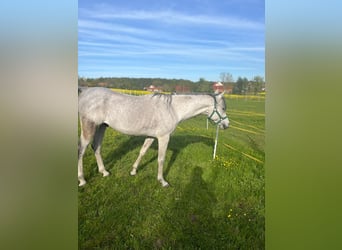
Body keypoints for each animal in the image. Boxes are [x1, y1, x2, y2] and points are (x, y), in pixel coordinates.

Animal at [77, 87, 227, 187]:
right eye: (224, 108)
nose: (226, 125)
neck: (173, 109)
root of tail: (85, 92)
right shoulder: (164, 138)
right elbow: (161, 159)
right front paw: (162, 181)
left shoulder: (151, 136)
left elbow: (142, 152)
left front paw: (133, 171)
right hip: (89, 127)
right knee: (81, 150)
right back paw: (82, 180)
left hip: (101, 127)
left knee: (96, 147)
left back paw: (104, 172)